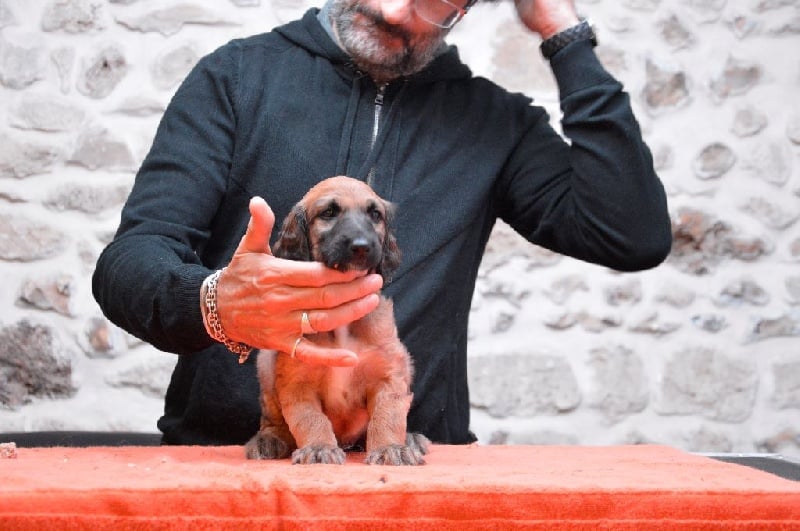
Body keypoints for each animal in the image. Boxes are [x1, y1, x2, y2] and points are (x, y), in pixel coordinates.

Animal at [245, 176, 428, 465]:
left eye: (375, 214)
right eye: (328, 212)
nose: (362, 246)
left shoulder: (389, 373)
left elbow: (388, 415)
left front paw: (391, 448)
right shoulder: (298, 382)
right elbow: (310, 419)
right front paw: (319, 447)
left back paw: (409, 438)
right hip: (266, 363)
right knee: (273, 420)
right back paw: (269, 440)